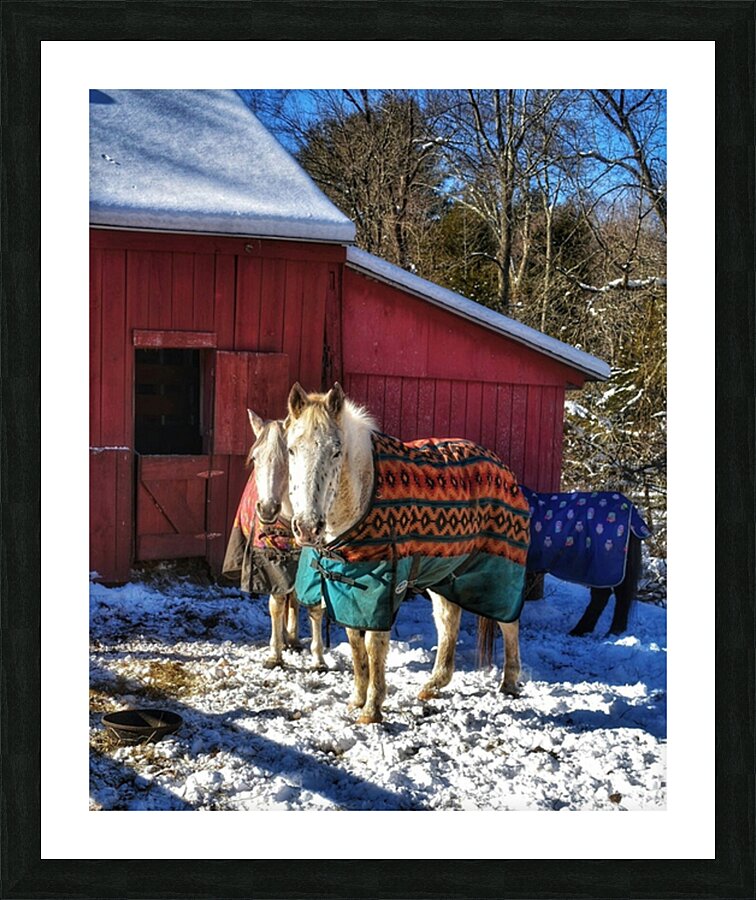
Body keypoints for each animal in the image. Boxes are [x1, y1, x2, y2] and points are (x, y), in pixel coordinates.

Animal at [221, 410, 325, 671]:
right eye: (254, 458)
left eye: (288, 458)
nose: (267, 509)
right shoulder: (271, 560)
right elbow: (277, 603)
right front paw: (275, 655)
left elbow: (313, 606)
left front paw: (318, 659)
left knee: (295, 597)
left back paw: (293, 638)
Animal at [284, 382, 531, 725]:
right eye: (292, 450)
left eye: (335, 450)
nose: (308, 527)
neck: (365, 494)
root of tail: (505, 471)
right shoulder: (348, 587)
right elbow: (355, 644)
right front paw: (357, 699)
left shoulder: (382, 589)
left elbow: (373, 646)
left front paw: (371, 710)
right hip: (446, 574)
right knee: (448, 621)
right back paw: (433, 684)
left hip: (500, 572)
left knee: (510, 622)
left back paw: (508, 683)